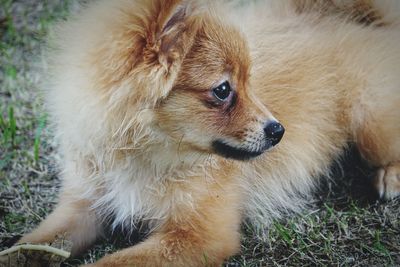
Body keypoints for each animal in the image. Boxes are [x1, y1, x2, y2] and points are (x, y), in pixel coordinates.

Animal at [18, 0, 400, 266]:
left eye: (248, 82)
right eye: (223, 90)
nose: (278, 130)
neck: (145, 158)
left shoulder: (198, 237)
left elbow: (112, 262)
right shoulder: (85, 205)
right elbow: (37, 241)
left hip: (371, 124)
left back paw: (390, 178)